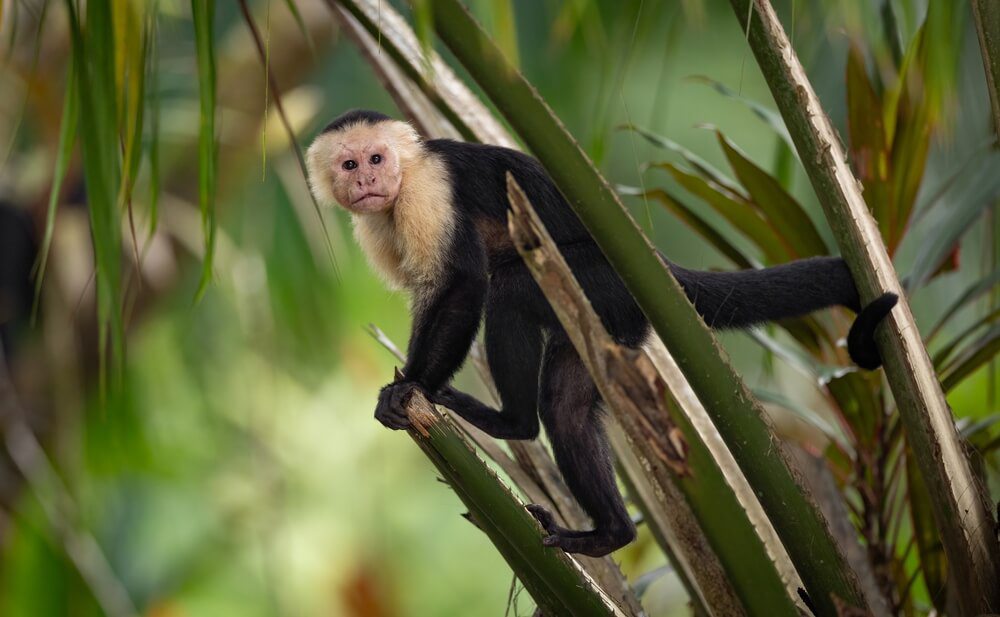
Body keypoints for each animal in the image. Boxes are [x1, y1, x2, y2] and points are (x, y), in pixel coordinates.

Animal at [305, 109, 898, 558]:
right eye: (350, 163)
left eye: (377, 158)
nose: (367, 182)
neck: (402, 185)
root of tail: (658, 269)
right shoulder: (375, 223)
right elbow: (431, 293)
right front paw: (413, 381)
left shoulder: (428, 192)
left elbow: (463, 285)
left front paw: (414, 388)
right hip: (611, 321)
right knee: (566, 406)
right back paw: (607, 529)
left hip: (599, 282)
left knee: (509, 290)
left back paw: (512, 424)